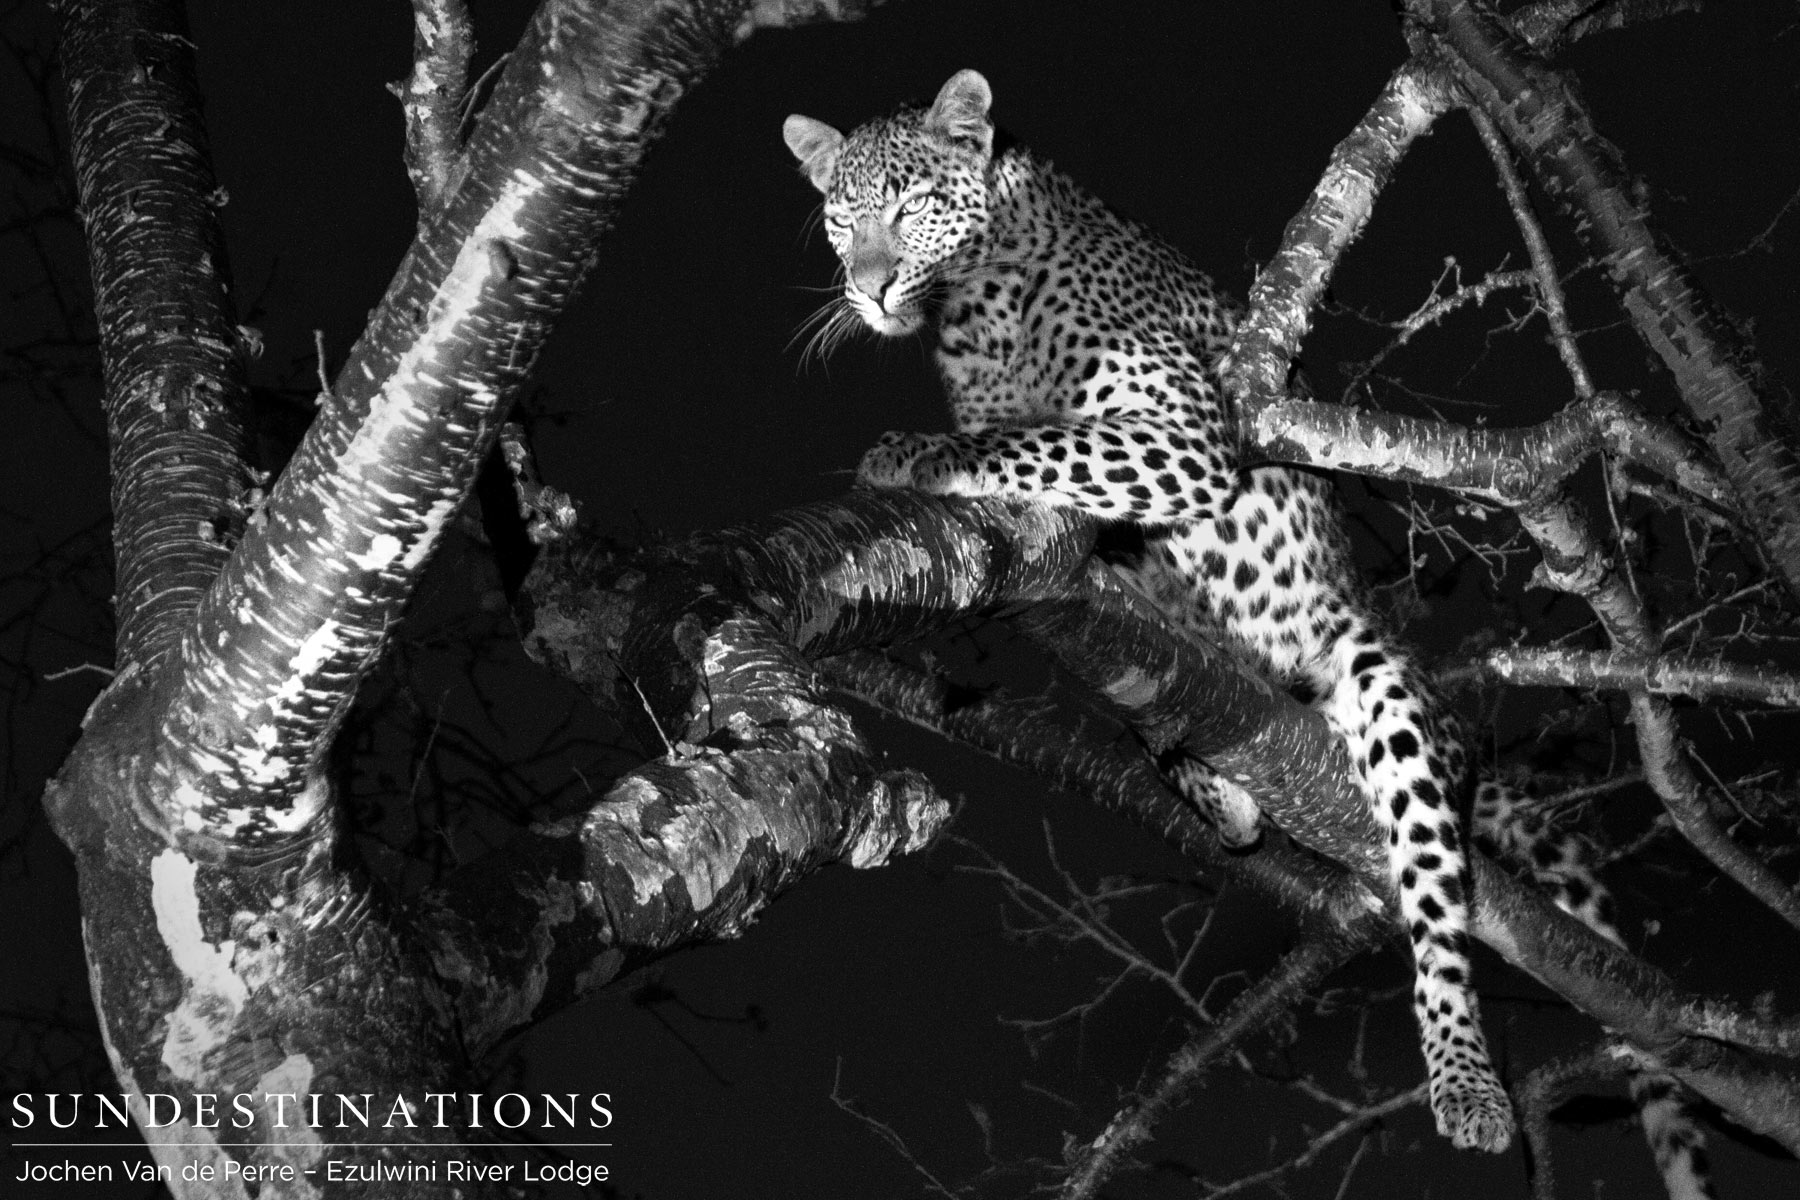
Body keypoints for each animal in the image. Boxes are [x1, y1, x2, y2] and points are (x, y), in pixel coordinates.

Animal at [782, 67, 1514, 1154]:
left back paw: (1468, 1084)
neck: (976, 305)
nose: (867, 288)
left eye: (910, 205)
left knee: (1436, 906)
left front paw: (913, 451)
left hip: (1378, 679)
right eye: (841, 217)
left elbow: (1036, 440)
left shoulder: (1181, 436)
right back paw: (1214, 785)